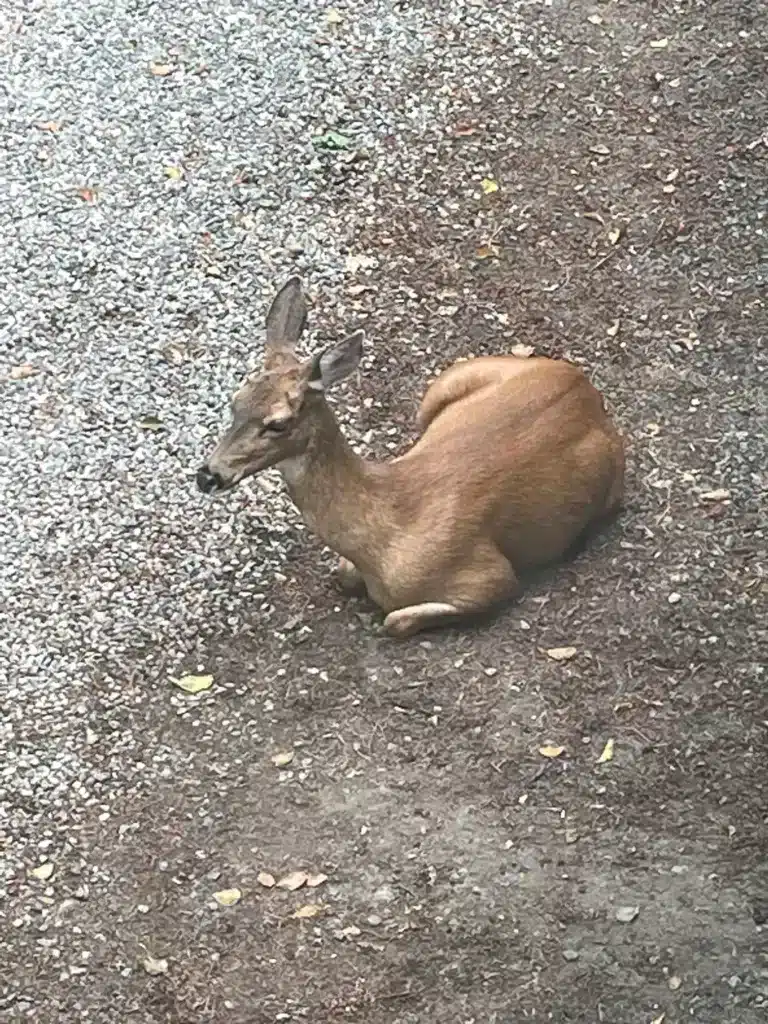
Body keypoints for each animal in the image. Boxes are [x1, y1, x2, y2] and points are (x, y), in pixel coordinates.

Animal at [196, 276, 626, 634]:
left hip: (608, 480)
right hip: (446, 383)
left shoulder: (489, 576)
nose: (208, 475)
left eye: (278, 423)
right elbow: (343, 575)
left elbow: (395, 621)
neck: (384, 534)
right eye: (235, 402)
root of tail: (584, 385)